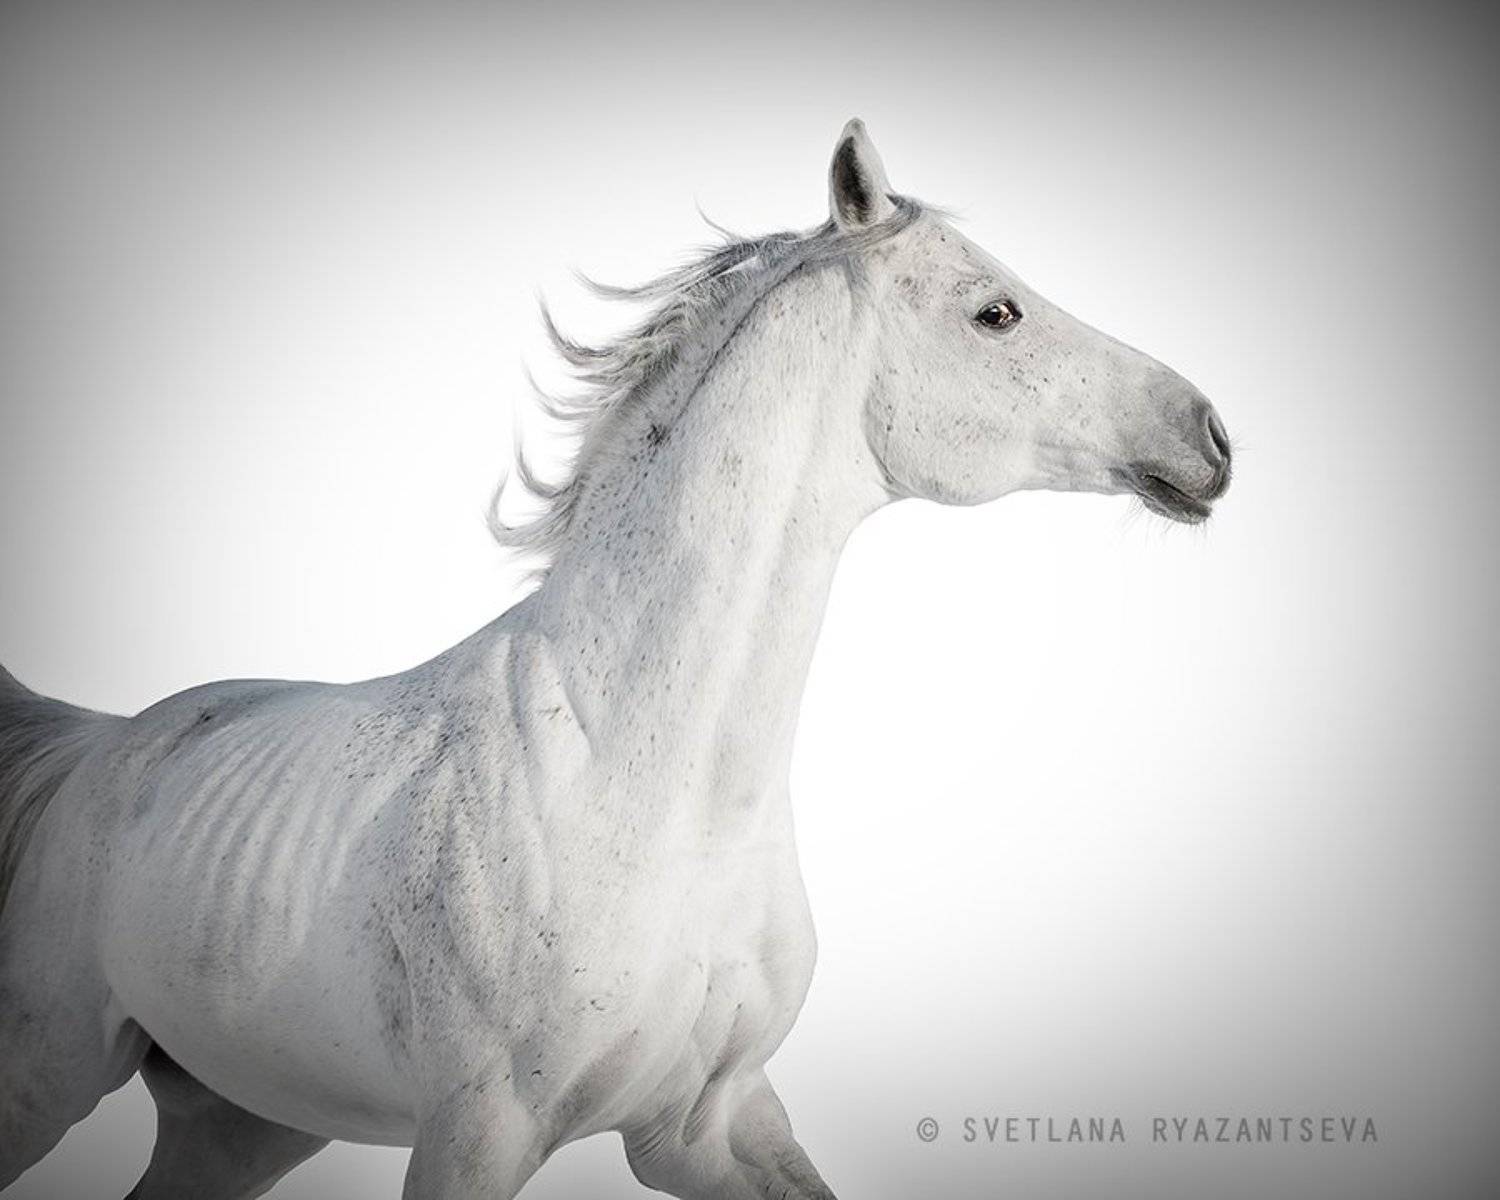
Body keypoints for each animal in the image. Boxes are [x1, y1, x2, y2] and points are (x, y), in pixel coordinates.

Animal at [0, 119, 1232, 1199]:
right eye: (996, 313)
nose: (1210, 434)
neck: (644, 788)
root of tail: (88, 756)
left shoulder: (707, 1123)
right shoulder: (478, 1133)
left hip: (244, 1123)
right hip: (45, 1080)